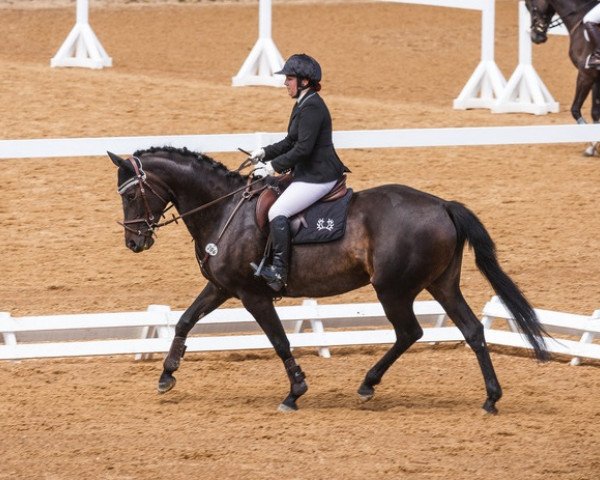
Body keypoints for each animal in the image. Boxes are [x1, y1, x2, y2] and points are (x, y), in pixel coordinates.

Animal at [108, 146, 548, 412]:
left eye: (129, 195)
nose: (134, 242)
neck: (224, 210)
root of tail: (443, 205)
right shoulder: (222, 288)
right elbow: (185, 320)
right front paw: (167, 375)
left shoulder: (252, 294)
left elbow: (279, 340)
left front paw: (295, 392)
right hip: (441, 284)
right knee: (472, 330)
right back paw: (491, 398)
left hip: (393, 289)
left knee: (410, 332)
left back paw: (368, 383)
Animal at [528, 0, 600, 154]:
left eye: (530, 5)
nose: (535, 37)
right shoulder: (596, 77)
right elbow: (595, 112)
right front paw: (593, 146)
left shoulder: (585, 75)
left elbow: (575, 109)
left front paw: (591, 142)